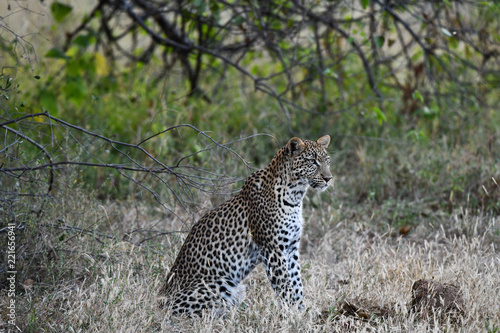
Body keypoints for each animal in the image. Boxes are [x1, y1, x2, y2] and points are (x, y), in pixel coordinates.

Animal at [159, 134, 332, 314]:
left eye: (327, 161)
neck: (295, 195)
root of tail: (160, 300)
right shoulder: (273, 249)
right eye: (312, 161)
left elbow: (297, 283)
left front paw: (301, 311)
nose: (329, 178)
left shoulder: (290, 247)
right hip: (221, 283)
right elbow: (285, 285)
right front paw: (291, 313)